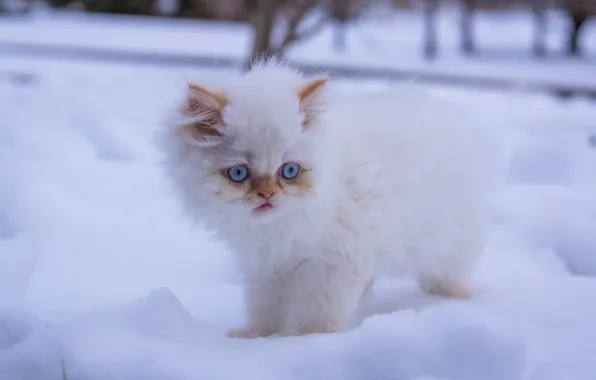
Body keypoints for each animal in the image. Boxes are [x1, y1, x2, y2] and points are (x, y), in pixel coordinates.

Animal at [156, 59, 492, 338]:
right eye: (239, 173)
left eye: (289, 170)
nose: (267, 195)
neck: (281, 228)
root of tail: (441, 106)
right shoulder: (268, 267)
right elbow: (265, 309)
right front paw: (256, 337)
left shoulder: (335, 264)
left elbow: (319, 313)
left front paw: (310, 341)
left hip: (448, 240)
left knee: (447, 270)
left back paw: (454, 297)